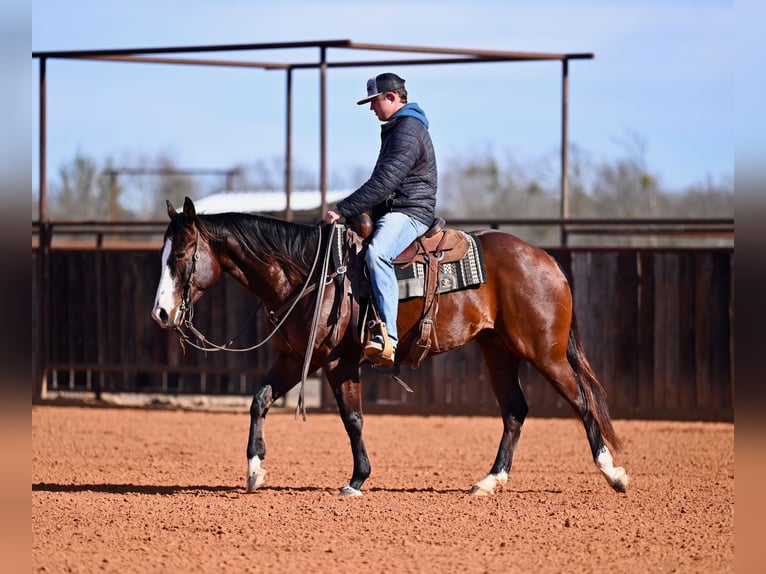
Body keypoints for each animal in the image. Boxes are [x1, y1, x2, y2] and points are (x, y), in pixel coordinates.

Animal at [151, 197, 629, 497]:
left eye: (182, 256)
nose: (160, 313)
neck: (311, 275)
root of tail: (547, 261)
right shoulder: (293, 359)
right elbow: (260, 400)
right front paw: (254, 470)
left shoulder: (337, 362)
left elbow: (353, 419)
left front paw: (357, 480)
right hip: (498, 351)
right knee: (515, 411)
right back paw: (489, 481)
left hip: (544, 353)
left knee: (582, 401)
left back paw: (614, 473)